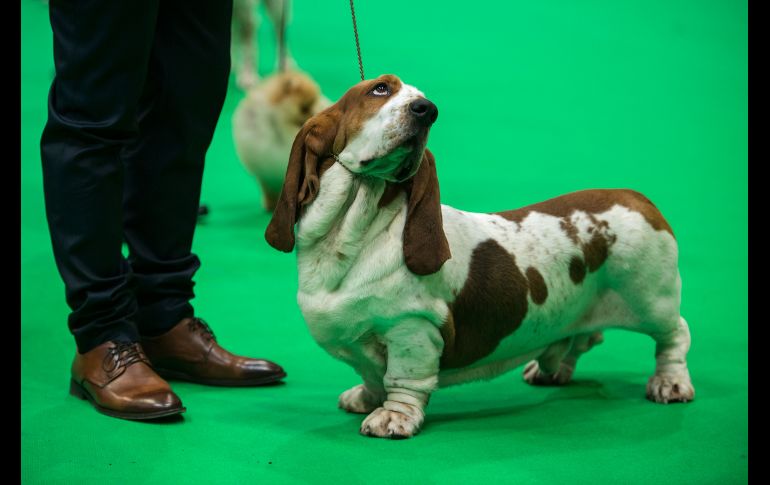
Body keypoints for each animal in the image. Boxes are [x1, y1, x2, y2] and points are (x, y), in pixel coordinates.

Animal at [262, 73, 688, 438]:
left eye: (422, 100)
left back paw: (670, 384)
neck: (354, 233)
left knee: (674, 336)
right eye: (379, 89)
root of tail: (636, 196)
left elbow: (402, 380)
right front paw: (364, 399)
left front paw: (391, 418)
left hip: (651, 299)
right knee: (580, 340)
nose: (427, 110)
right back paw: (550, 370)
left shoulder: (411, 329)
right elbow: (371, 375)